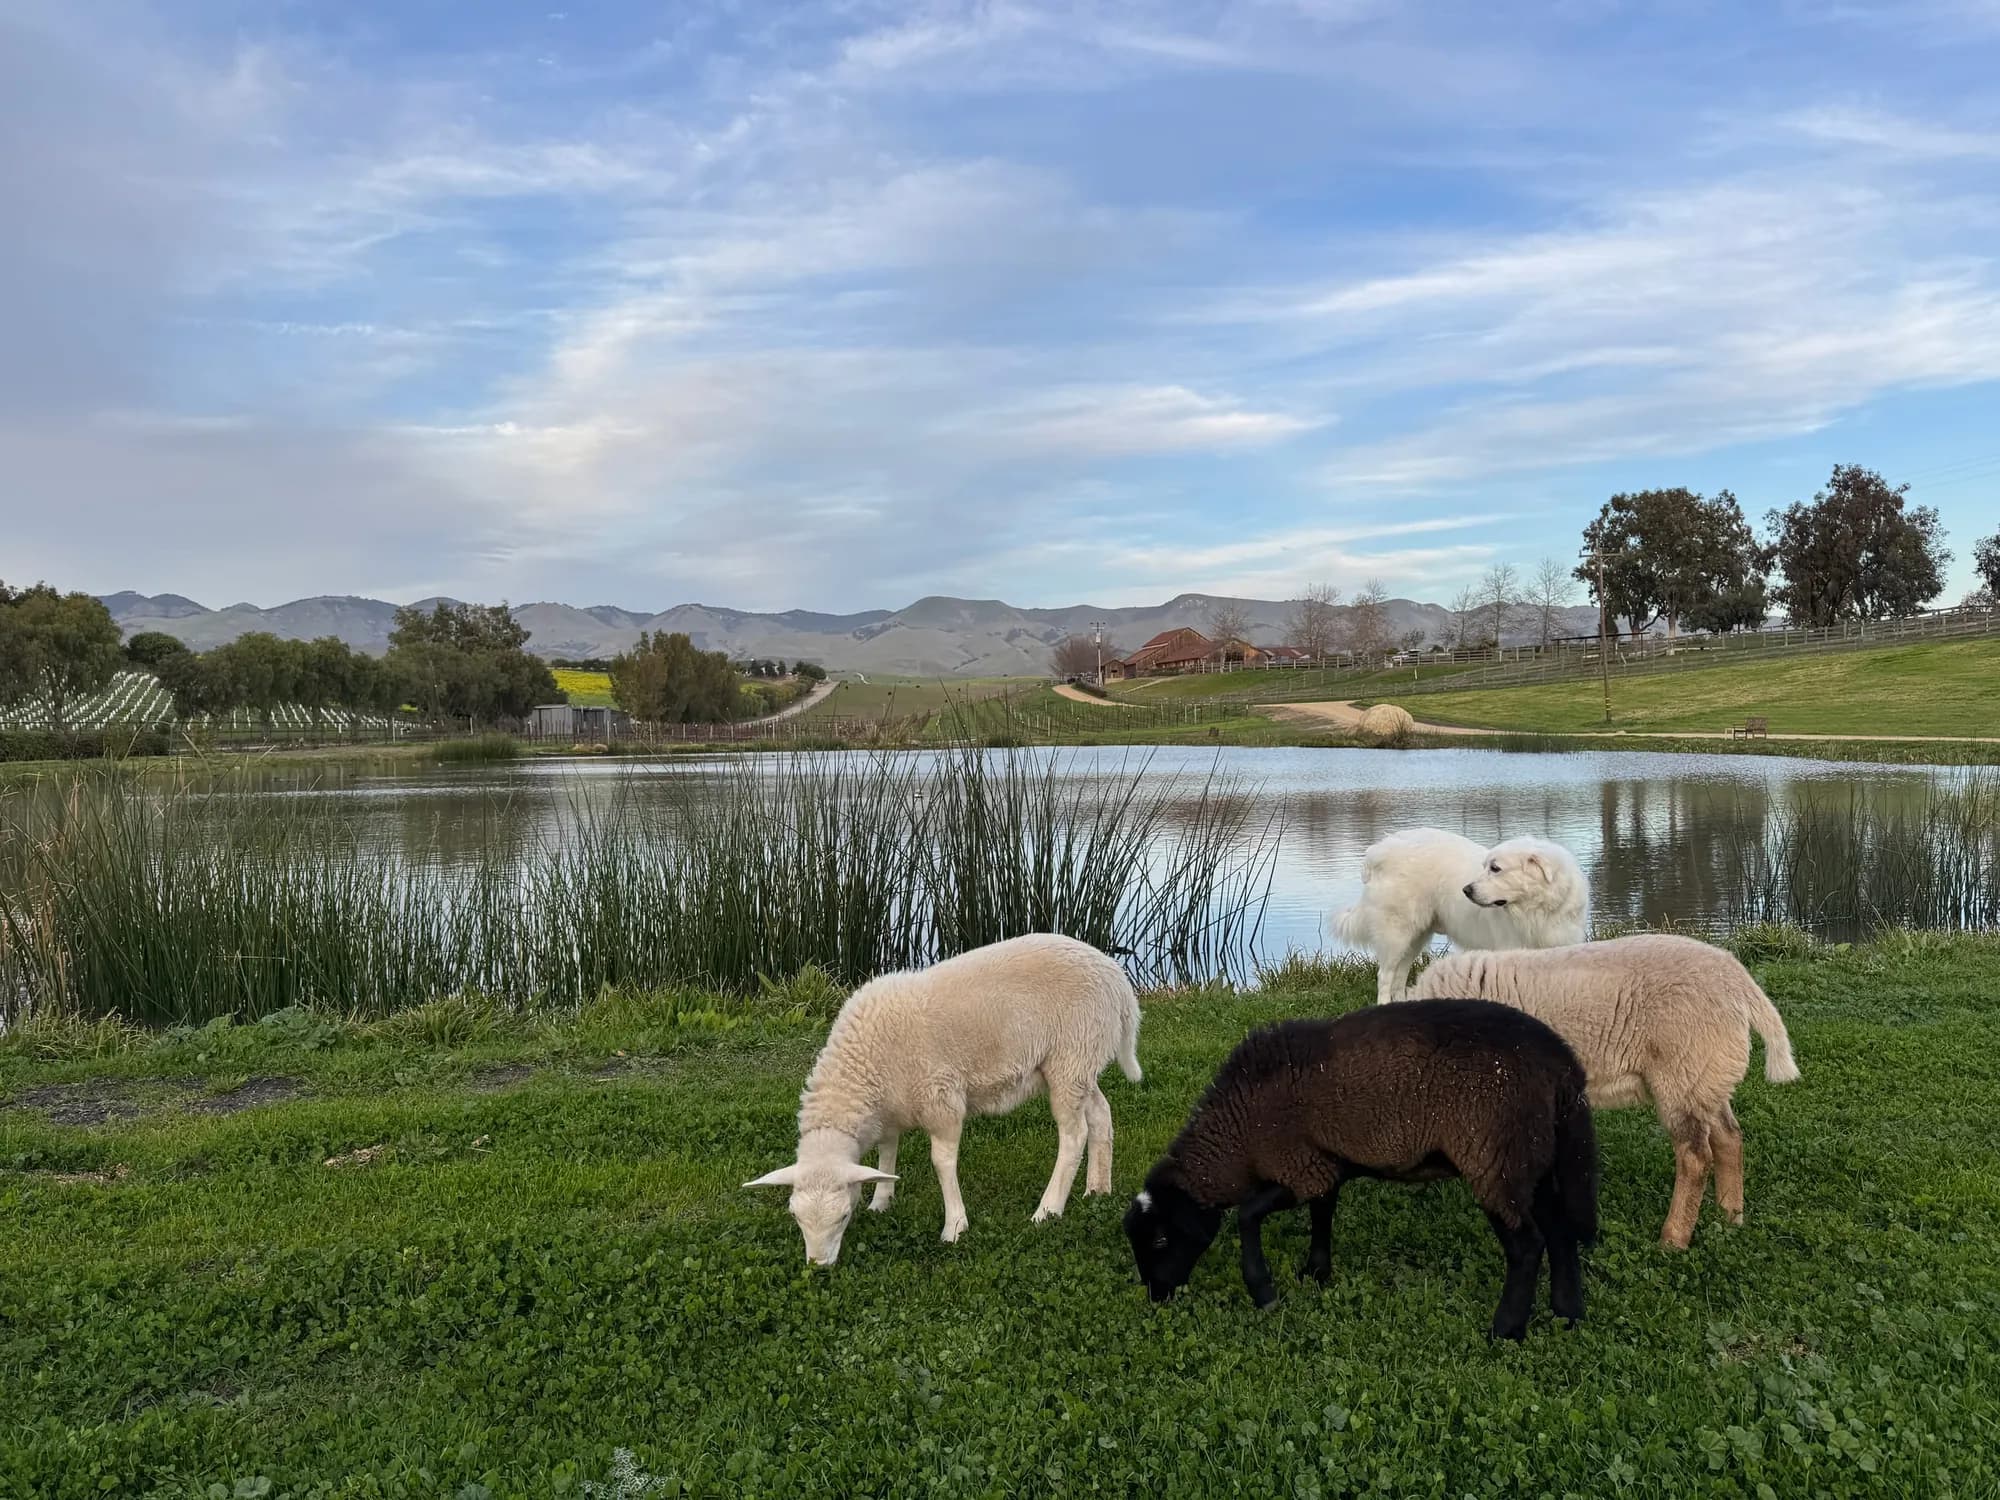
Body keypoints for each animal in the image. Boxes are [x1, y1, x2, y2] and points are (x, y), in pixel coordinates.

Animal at [745, 932, 1142, 1265]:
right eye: (795, 1216)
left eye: (842, 1215)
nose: (817, 1266)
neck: (863, 1070)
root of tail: (1118, 980)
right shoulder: (892, 1108)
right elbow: (887, 1151)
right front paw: (881, 1201)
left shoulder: (941, 1100)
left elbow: (942, 1163)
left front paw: (954, 1226)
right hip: (1078, 1064)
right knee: (1100, 1114)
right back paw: (1097, 1189)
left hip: (1071, 1056)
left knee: (1073, 1136)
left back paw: (1048, 1210)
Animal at [1123, 999, 1598, 1341]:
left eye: (1161, 1239)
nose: (1155, 1296)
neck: (1237, 1134)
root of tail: (1563, 1065)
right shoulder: (1322, 1164)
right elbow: (1322, 1215)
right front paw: (1315, 1273)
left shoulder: (1298, 1166)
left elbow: (1246, 1215)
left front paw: (1264, 1292)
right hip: (1533, 1157)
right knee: (1560, 1231)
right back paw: (1567, 1314)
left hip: (1493, 1156)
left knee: (1527, 1245)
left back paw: (1506, 1330)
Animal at [1332, 828, 1589, 1005]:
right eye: (1486, 866)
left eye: (1495, 868)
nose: (1466, 890)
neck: (1537, 910)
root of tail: (1381, 848)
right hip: (1396, 934)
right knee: (1385, 975)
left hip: (1415, 937)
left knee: (1399, 975)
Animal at [1410, 933, 1800, 1249]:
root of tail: (1739, 982)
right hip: (1705, 1074)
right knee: (1729, 1138)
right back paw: (1729, 1216)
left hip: (1682, 1071)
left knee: (1695, 1156)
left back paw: (1673, 1239)